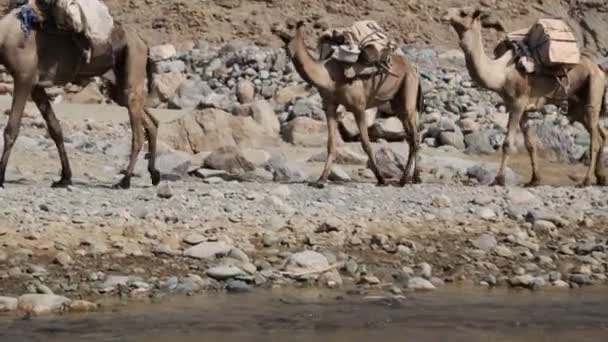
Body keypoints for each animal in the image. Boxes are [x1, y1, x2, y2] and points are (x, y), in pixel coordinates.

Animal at [0, 4, 160, 190]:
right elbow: (55, 129)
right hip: (119, 87)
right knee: (150, 121)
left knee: (137, 134)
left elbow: (11, 129)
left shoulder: (24, 77)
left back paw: (125, 180)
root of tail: (143, 42)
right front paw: (65, 177)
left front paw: (1, 177)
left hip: (133, 65)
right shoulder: (36, 86)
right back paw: (154, 174)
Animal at [280, 21, 422, 186]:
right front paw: (321, 179)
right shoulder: (329, 106)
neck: (328, 78)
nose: (275, 28)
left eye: (290, 26)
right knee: (412, 136)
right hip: (397, 103)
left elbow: (366, 144)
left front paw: (381, 179)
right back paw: (414, 178)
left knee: (414, 136)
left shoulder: (358, 107)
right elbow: (331, 144)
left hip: (408, 89)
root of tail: (413, 67)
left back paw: (404, 180)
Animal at [442, 6, 608, 186]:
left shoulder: (517, 103)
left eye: (463, 13)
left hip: (594, 87)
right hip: (576, 104)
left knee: (595, 139)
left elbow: (508, 143)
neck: (501, 73)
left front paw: (499, 179)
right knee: (600, 133)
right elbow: (530, 144)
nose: (445, 16)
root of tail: (599, 69)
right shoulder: (520, 107)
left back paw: (586, 180)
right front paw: (535, 179)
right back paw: (601, 177)